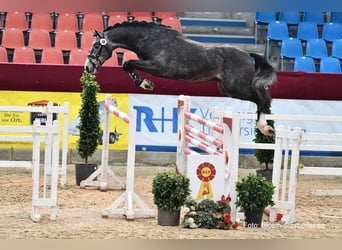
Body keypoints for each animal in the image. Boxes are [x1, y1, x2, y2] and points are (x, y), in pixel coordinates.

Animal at [84, 20, 276, 136]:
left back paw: (265, 127)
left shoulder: (157, 67)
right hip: (227, 89)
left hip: (235, 87)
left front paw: (145, 84)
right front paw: (145, 83)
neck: (149, 39)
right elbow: (127, 65)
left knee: (262, 98)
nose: (88, 67)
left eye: (96, 46)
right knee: (261, 97)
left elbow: (128, 64)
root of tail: (248, 54)